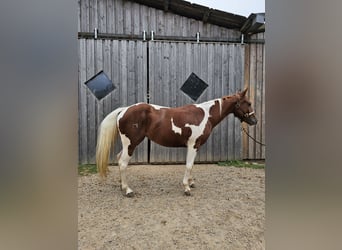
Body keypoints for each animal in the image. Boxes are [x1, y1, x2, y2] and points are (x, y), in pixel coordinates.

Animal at [96, 87, 256, 195]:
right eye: (248, 103)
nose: (254, 120)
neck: (205, 115)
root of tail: (124, 110)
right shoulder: (193, 145)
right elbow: (189, 165)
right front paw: (186, 187)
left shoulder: (195, 146)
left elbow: (192, 165)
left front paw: (191, 182)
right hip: (131, 143)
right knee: (123, 163)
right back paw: (128, 190)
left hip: (128, 144)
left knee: (119, 159)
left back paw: (122, 186)